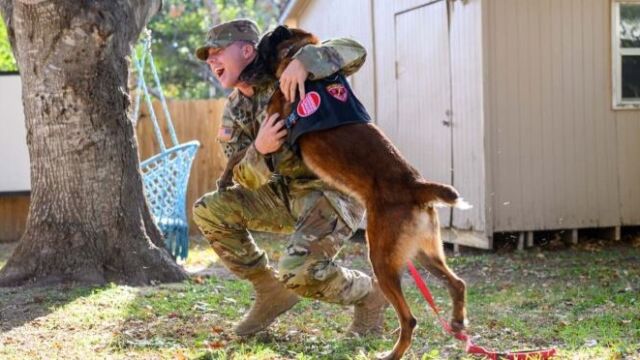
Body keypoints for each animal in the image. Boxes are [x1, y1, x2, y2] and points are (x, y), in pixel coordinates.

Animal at [236, 26, 470, 360]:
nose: (240, 76)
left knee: (410, 319)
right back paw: (458, 322)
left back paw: (392, 354)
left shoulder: (273, 124)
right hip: (424, 253)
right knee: (458, 284)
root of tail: (416, 184)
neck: (295, 55)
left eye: (257, 52)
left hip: (381, 258)